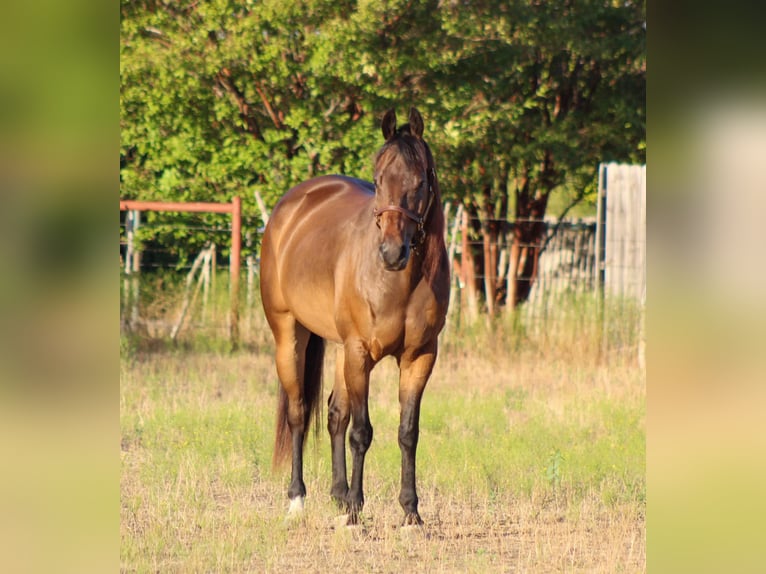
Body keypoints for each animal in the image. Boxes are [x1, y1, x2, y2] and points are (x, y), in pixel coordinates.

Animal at [260, 107, 450, 528]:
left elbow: (407, 432)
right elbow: (361, 432)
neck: (400, 281)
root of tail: (293, 204)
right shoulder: (361, 353)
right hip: (290, 335)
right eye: (378, 180)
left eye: (421, 180)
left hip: (340, 349)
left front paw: (410, 512)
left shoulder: (420, 357)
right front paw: (355, 512)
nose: (392, 252)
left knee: (334, 413)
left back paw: (338, 495)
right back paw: (297, 499)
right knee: (299, 412)